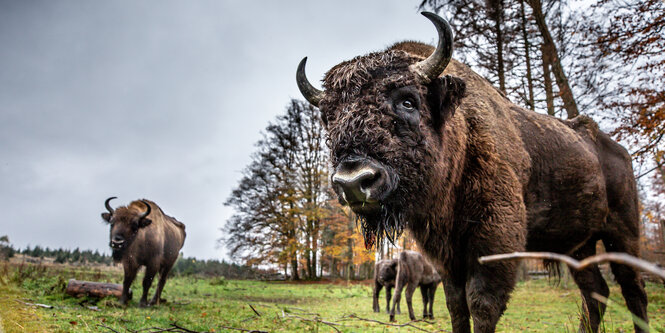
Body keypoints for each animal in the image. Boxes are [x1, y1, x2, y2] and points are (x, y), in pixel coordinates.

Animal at [296, 11, 648, 332]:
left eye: (409, 101)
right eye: (329, 117)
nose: (353, 181)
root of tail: (615, 149)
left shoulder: (495, 242)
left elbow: (481, 304)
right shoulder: (444, 254)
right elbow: (456, 306)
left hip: (623, 233)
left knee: (633, 290)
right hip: (578, 246)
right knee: (595, 293)